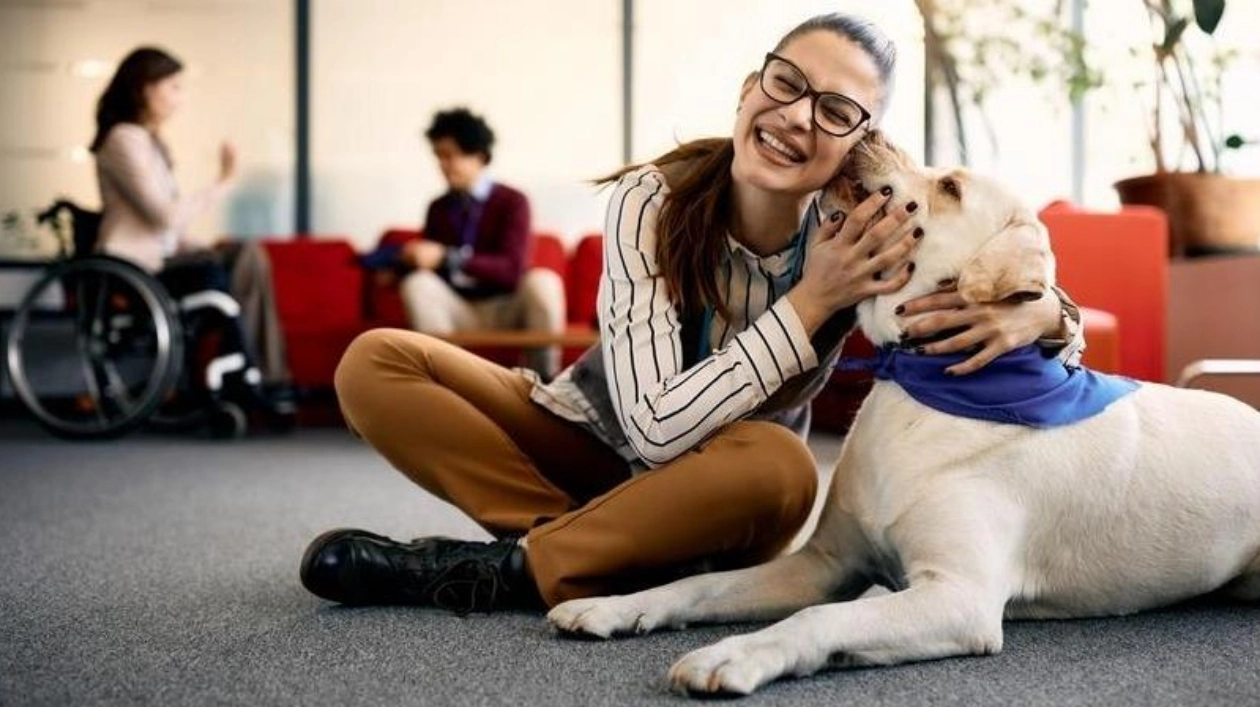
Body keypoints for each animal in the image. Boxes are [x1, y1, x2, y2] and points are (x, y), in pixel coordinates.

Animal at [546, 132, 1260, 695]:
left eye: (949, 185)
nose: (866, 130)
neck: (921, 386)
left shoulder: (957, 596)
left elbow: (819, 619)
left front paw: (732, 657)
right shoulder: (826, 564)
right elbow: (702, 587)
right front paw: (615, 606)